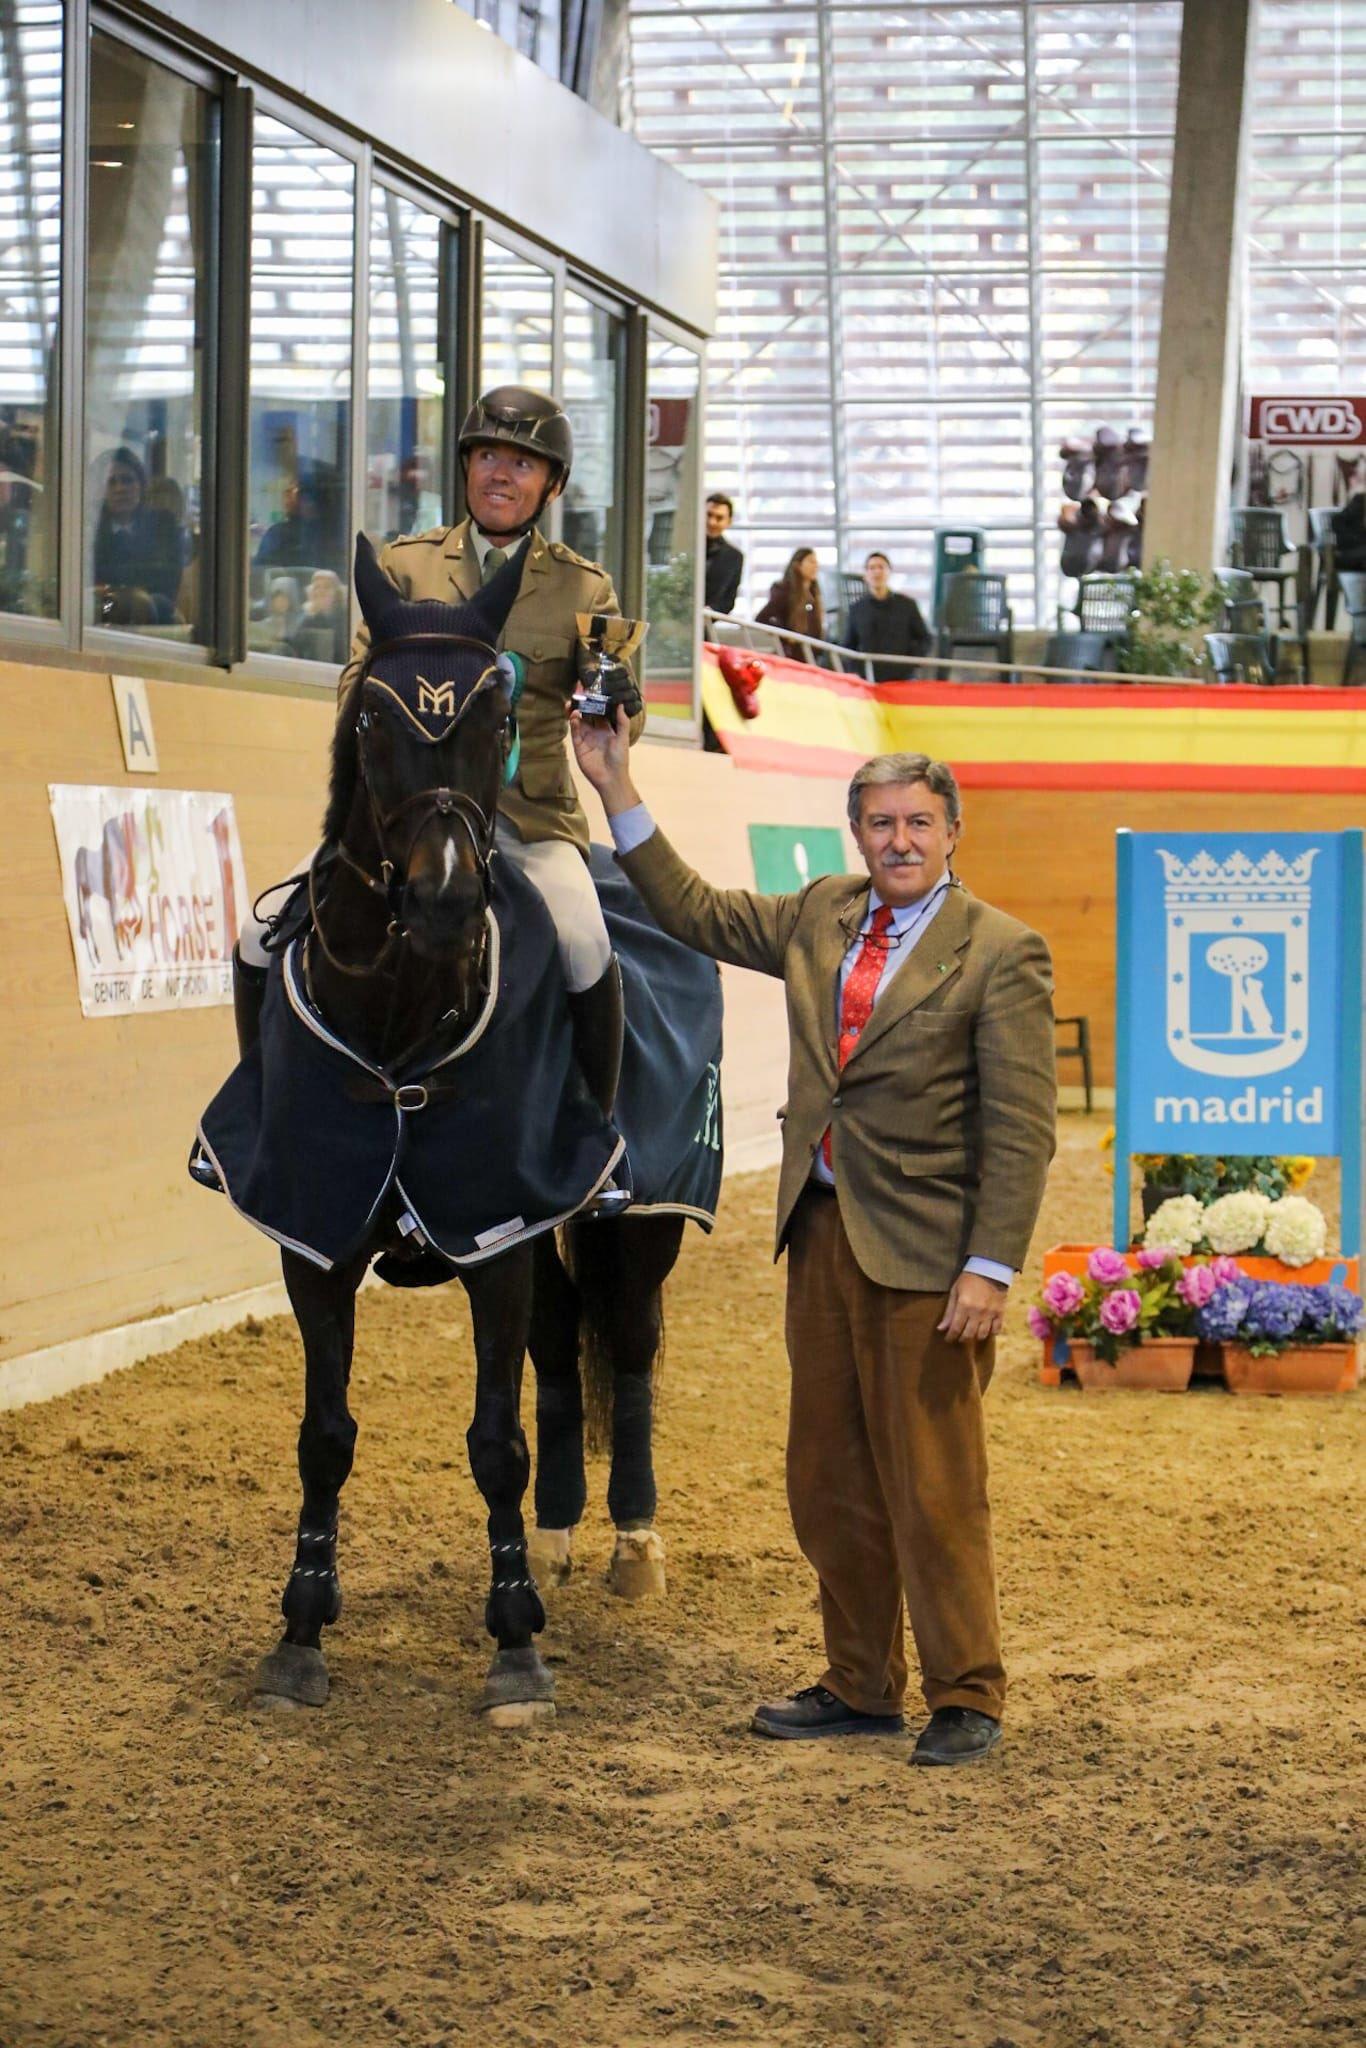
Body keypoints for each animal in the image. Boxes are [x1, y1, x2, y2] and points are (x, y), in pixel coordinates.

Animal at [222, 536, 696, 1720]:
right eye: (372, 720)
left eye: (496, 714)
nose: (441, 901)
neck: (400, 1008)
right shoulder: (320, 1232)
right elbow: (325, 1436)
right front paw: (300, 1627)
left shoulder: (498, 1229)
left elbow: (494, 1442)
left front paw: (515, 1644)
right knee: (561, 1349)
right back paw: (563, 1537)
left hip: (633, 1219)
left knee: (628, 1349)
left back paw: (630, 1542)